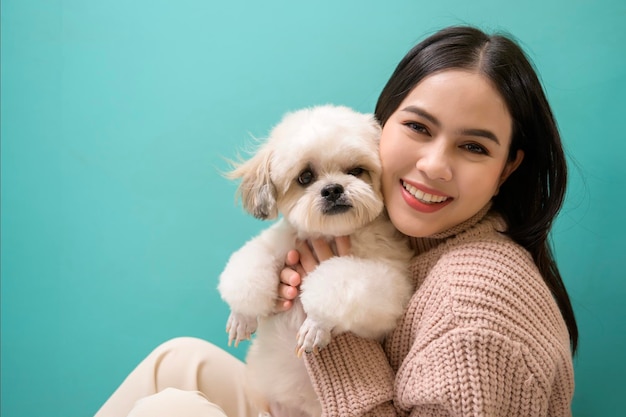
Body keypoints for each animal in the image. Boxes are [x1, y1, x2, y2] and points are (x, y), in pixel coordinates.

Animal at [217, 105, 412, 416]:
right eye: (305, 177)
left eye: (356, 171)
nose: (332, 189)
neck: (331, 236)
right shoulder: (280, 245)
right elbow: (251, 268)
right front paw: (241, 316)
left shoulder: (388, 282)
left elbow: (335, 286)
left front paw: (316, 324)